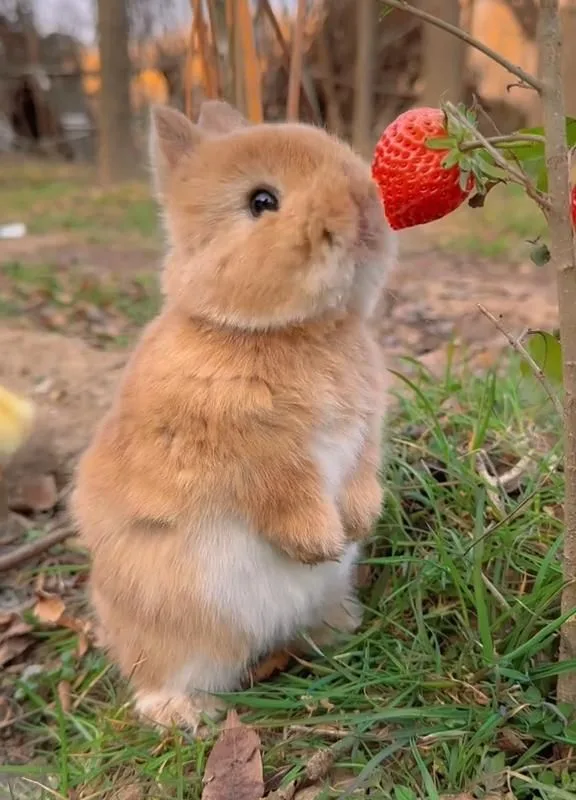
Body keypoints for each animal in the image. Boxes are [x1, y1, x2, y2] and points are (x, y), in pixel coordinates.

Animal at [69, 100, 397, 733]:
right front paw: (320, 542)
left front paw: (358, 523)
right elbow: (284, 494)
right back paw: (182, 713)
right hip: (176, 624)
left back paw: (340, 628)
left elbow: (361, 475)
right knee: (165, 672)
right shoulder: (254, 456)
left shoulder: (364, 435)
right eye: (262, 201)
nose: (366, 210)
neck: (287, 331)